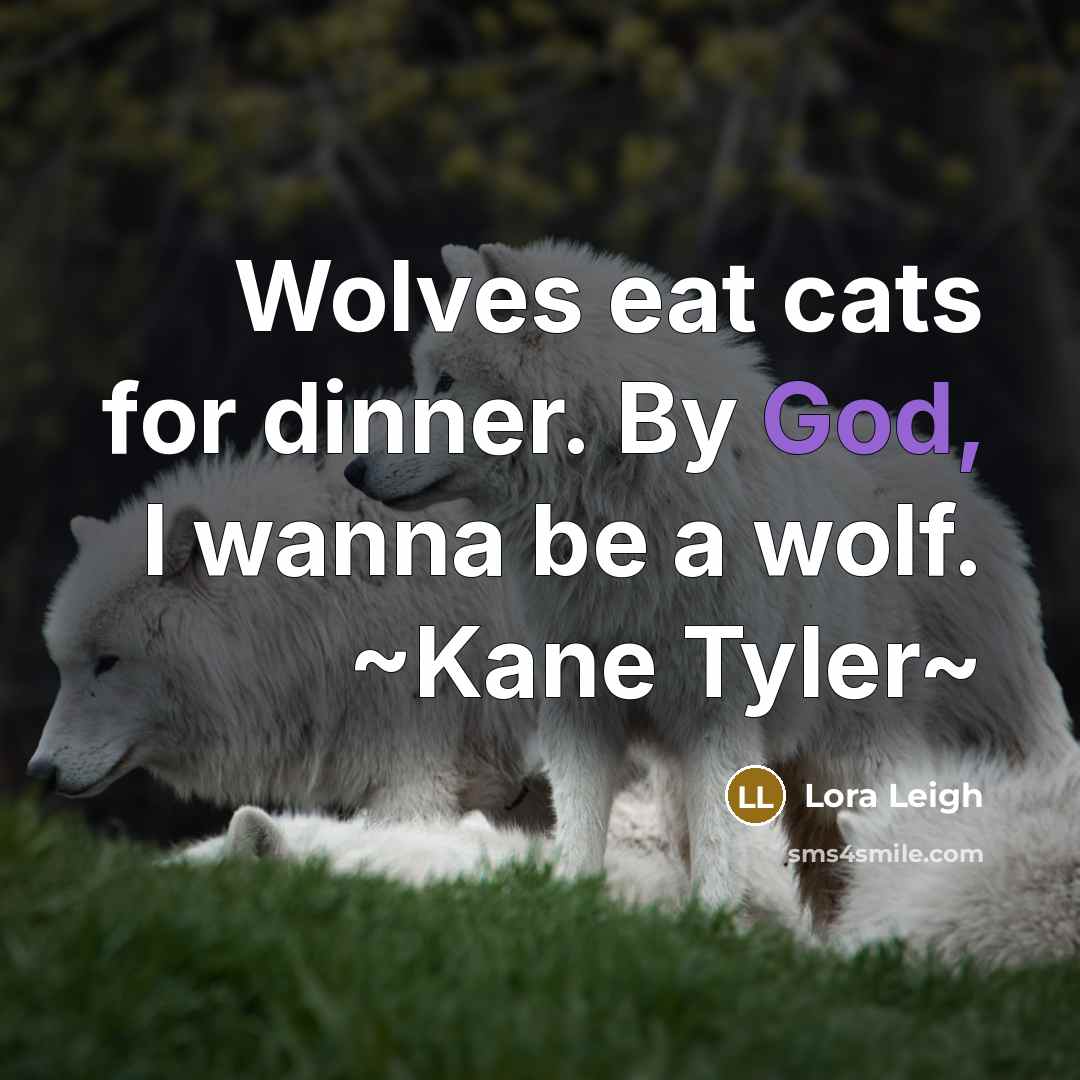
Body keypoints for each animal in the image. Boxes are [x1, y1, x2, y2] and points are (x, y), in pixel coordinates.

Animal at [345, 239, 1072, 918]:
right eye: (423, 379)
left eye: (445, 383)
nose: (354, 469)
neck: (617, 512)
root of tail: (971, 490)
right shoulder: (580, 708)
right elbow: (579, 834)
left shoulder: (717, 717)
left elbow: (721, 846)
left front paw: (712, 925)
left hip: (877, 760)